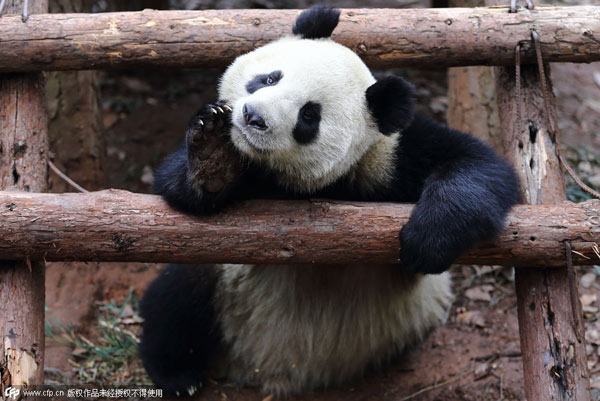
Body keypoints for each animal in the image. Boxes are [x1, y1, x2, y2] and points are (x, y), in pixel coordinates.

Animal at [138, 5, 516, 396]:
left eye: (309, 115)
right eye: (270, 79)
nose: (253, 117)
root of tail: (264, 368)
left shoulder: (389, 158)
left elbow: (481, 167)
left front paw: (428, 240)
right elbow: (177, 187)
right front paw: (212, 154)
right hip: (227, 284)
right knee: (180, 293)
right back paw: (177, 373)